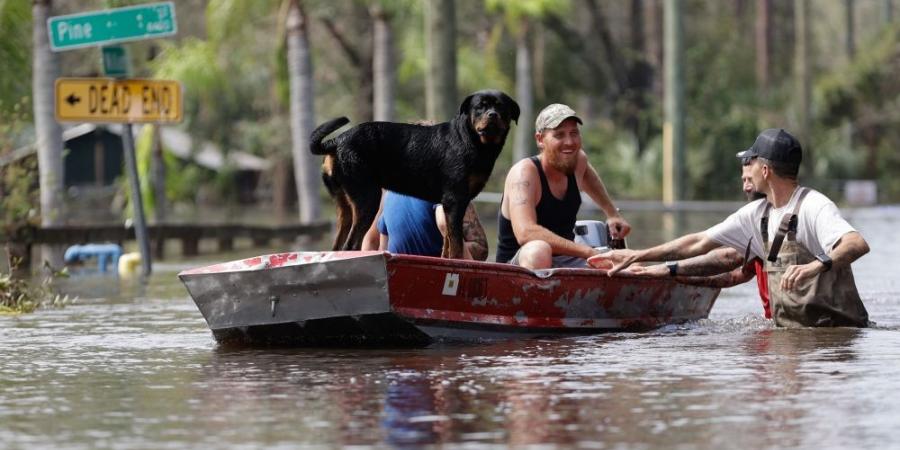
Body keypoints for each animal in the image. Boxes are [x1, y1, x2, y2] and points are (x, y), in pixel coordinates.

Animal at [310, 89, 520, 258]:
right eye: (479, 107)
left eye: (502, 107)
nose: (492, 114)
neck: (473, 140)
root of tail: (337, 141)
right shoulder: (455, 199)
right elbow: (457, 244)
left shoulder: (448, 204)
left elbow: (447, 241)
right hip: (367, 197)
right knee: (351, 244)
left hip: (344, 204)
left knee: (338, 244)